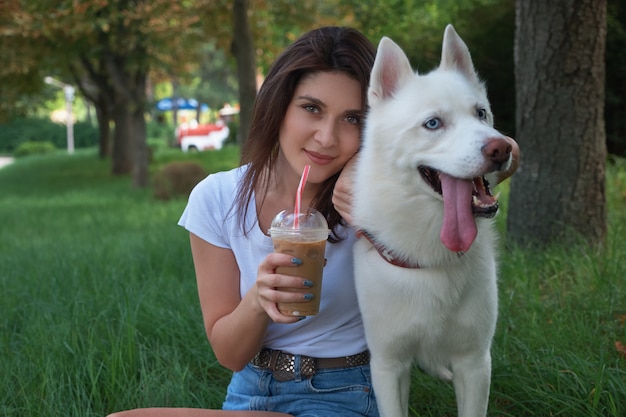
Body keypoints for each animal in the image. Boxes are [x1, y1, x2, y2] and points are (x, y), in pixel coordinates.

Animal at [354, 26, 516, 416]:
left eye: (481, 113)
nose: (501, 148)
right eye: (432, 124)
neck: (432, 254)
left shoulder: (474, 362)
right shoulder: (388, 365)